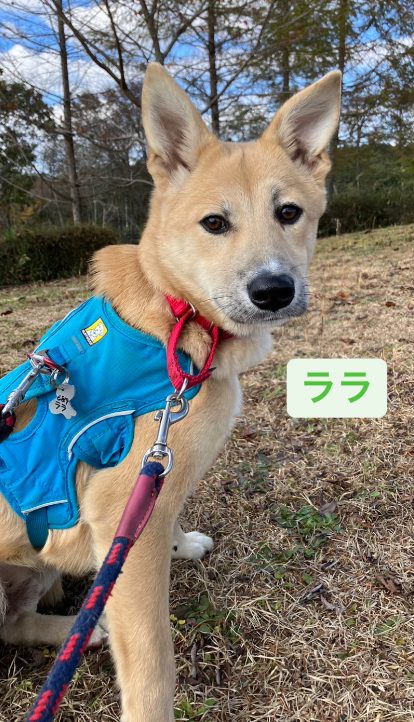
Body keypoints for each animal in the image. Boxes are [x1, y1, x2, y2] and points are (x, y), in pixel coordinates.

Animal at [0, 63, 341, 721]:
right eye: (215, 224)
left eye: (289, 213)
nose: (274, 291)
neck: (178, 316)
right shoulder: (122, 518)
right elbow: (153, 665)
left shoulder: (156, 484)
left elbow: (171, 513)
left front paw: (184, 545)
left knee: (16, 623)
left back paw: (81, 631)